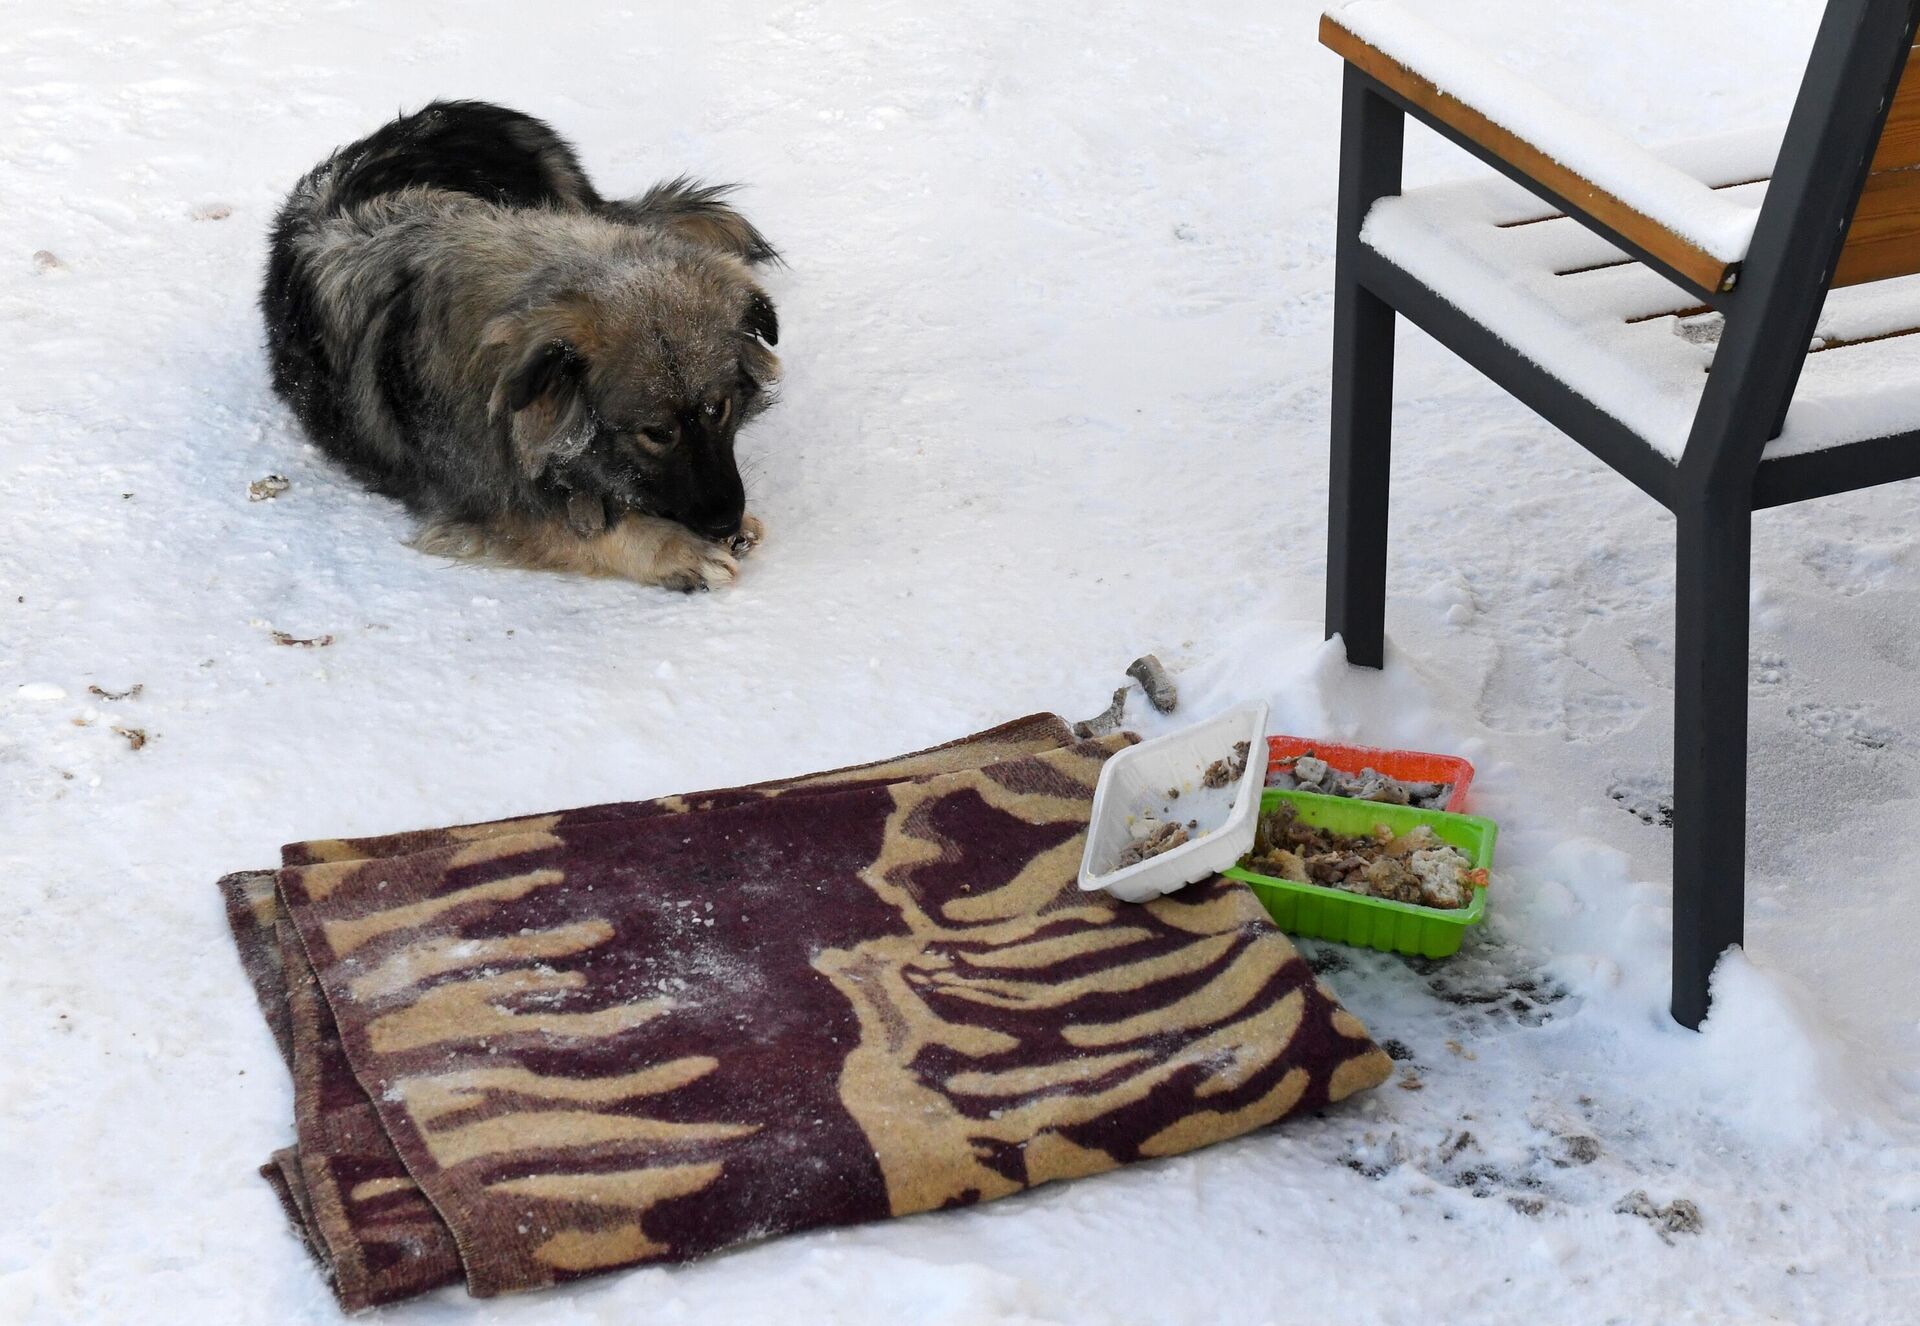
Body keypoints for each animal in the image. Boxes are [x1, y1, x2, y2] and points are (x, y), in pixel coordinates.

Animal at [261, 106, 779, 594]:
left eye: (719, 409)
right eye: (655, 433)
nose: (725, 520)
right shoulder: (488, 503)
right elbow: (579, 528)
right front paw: (679, 550)